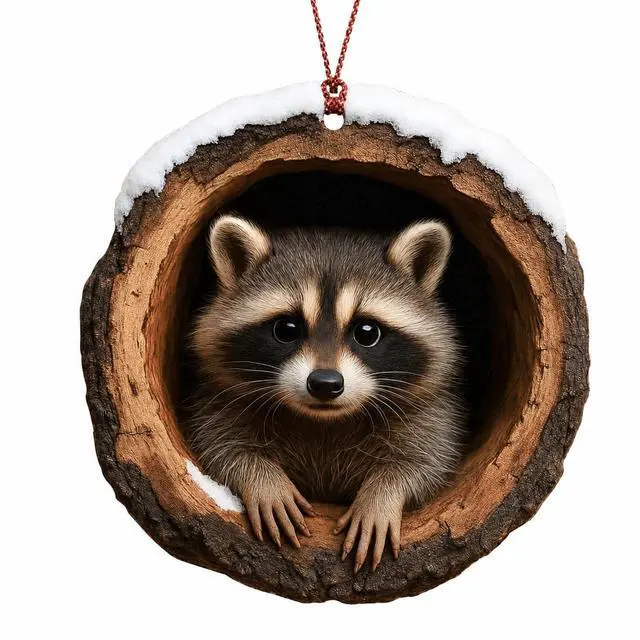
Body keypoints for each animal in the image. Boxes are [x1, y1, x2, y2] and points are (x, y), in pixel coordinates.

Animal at [186, 214, 464, 571]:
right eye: (286, 329)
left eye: (367, 332)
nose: (325, 383)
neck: (325, 419)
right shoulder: (219, 398)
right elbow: (218, 447)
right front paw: (263, 480)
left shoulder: (431, 410)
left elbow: (428, 461)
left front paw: (382, 494)